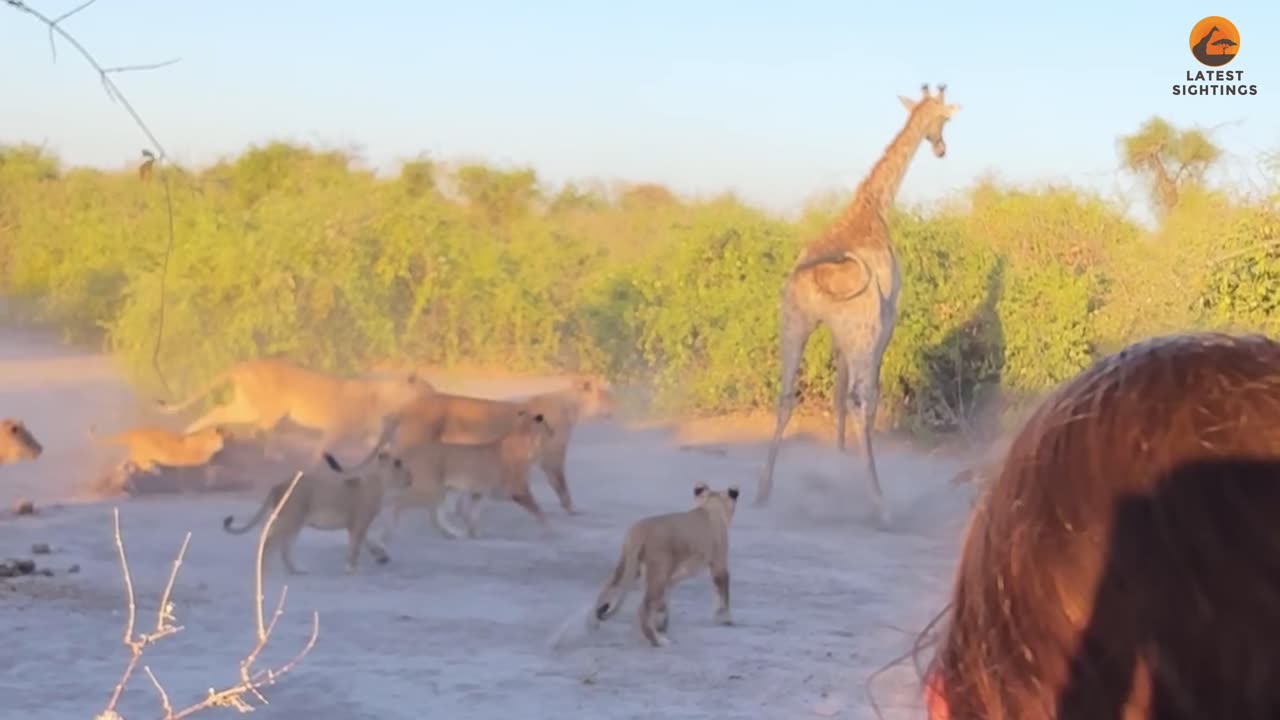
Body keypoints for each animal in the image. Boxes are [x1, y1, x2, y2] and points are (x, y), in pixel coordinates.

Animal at [152, 356, 432, 458]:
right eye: (427, 386)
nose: (435, 393)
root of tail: (243, 365)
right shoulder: (336, 429)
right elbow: (321, 451)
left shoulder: (369, 433)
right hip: (269, 410)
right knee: (256, 429)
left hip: (247, 406)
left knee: (217, 412)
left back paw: (187, 433)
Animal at [222, 440, 412, 573]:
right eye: (398, 463)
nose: (411, 478)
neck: (379, 483)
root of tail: (277, 485)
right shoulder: (359, 522)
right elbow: (356, 547)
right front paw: (352, 568)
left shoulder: (356, 524)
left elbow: (368, 541)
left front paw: (381, 556)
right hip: (291, 520)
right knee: (271, 543)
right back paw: (264, 571)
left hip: (291, 522)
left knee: (281, 546)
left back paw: (297, 570)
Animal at [384, 409, 555, 538]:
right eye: (546, 424)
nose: (552, 432)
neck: (525, 436)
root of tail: (408, 453)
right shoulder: (518, 490)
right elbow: (539, 511)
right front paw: (550, 532)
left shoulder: (478, 492)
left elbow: (473, 514)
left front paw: (474, 533)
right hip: (428, 489)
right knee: (398, 503)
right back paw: (390, 531)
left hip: (438, 491)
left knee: (436, 516)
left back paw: (457, 534)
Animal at [391, 371, 616, 512]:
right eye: (607, 396)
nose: (616, 405)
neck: (572, 408)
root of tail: (409, 404)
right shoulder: (552, 458)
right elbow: (562, 485)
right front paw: (572, 508)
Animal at [752, 82, 957, 527]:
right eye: (942, 119)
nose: (940, 149)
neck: (873, 207)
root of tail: (817, 276)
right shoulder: (887, 317)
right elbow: (865, 395)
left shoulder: (835, 331)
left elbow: (837, 393)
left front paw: (839, 458)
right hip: (862, 330)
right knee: (862, 400)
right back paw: (880, 504)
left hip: (792, 323)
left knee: (786, 395)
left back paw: (763, 491)